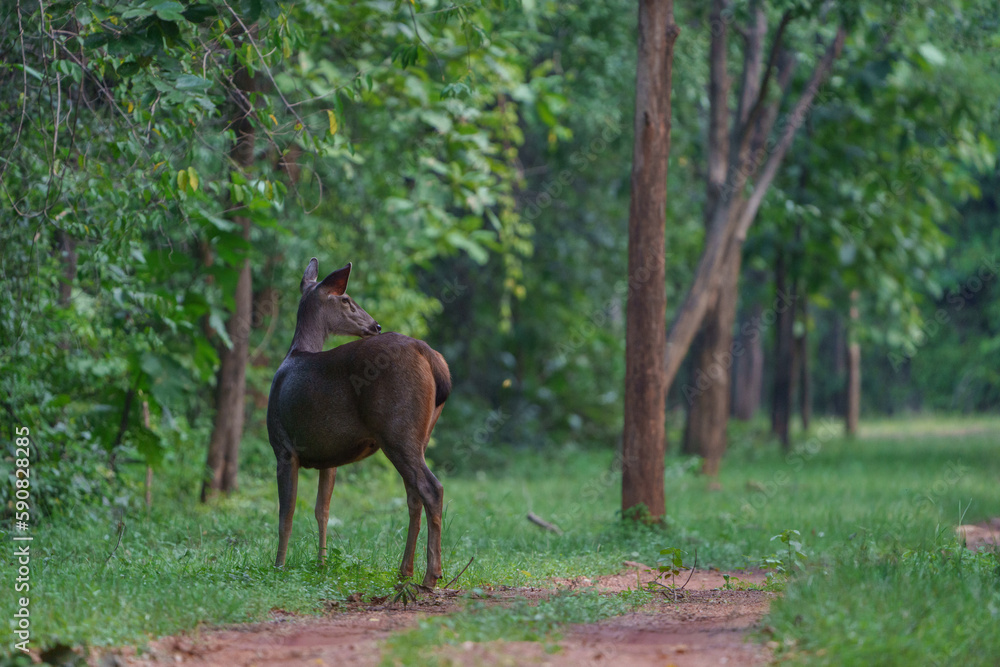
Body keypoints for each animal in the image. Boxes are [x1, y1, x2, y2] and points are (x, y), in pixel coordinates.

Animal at [266, 258, 451, 588]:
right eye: (346, 300)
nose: (375, 325)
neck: (295, 353)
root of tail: (430, 356)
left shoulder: (284, 446)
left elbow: (285, 514)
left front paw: (279, 566)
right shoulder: (329, 457)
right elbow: (322, 510)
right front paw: (322, 563)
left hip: (397, 429)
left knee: (432, 489)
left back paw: (431, 575)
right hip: (420, 434)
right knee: (414, 495)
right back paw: (405, 571)